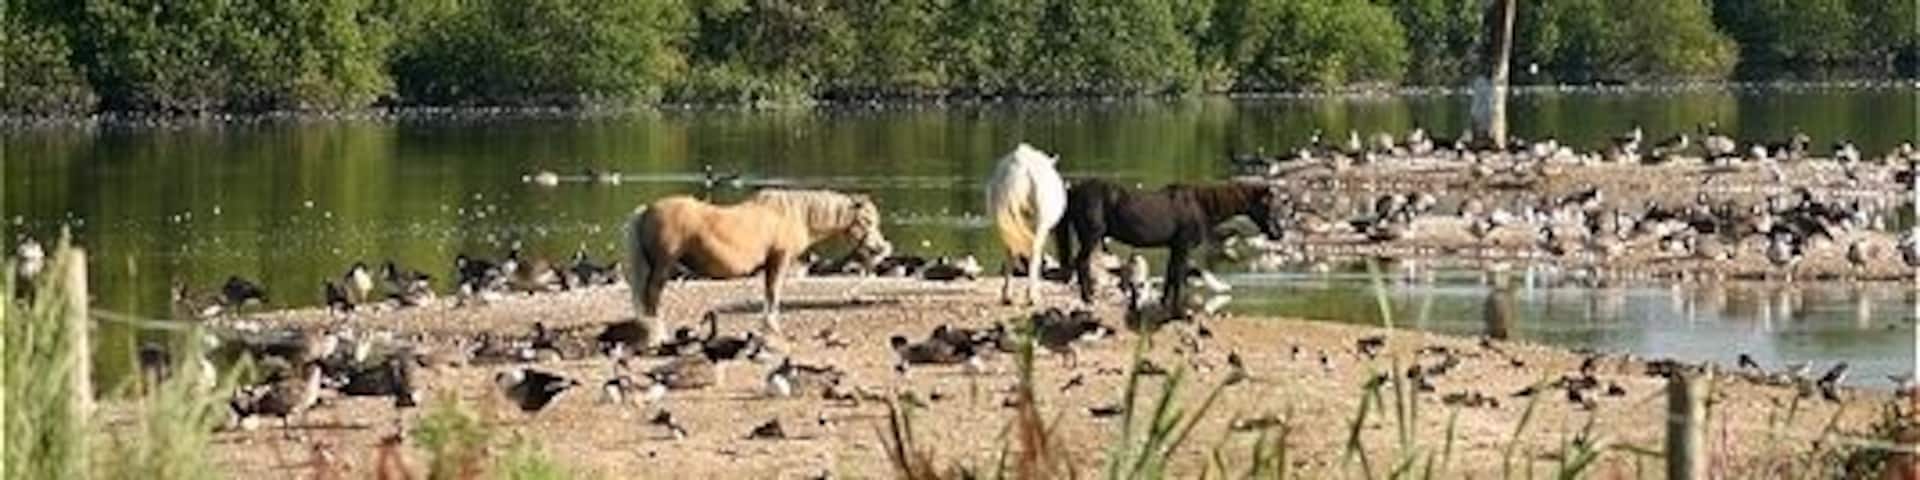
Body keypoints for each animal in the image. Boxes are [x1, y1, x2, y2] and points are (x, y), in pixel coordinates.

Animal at [626, 189, 891, 344]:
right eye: (866, 220)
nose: (880, 248)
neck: (789, 214)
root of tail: (646, 210)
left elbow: (768, 293)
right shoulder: (779, 260)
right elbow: (773, 293)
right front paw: (773, 329)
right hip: (663, 267)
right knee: (652, 297)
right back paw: (657, 335)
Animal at [985, 143, 1069, 305]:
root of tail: (1021, 168)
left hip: (1005, 225)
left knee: (1009, 252)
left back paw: (1007, 295)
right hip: (1040, 223)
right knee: (1034, 251)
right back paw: (1032, 296)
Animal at [1053, 179, 1291, 318]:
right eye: (1268, 206)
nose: (1278, 233)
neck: (1200, 205)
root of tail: (1074, 190)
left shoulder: (1175, 247)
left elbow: (1171, 276)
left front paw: (1163, 305)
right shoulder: (1183, 247)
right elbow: (1179, 277)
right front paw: (1179, 312)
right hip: (1090, 237)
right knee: (1081, 263)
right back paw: (1088, 298)